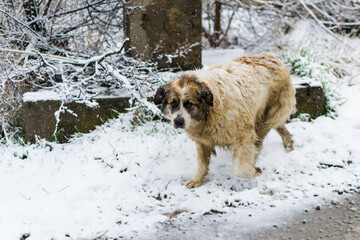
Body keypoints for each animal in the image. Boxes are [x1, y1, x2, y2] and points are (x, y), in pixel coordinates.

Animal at [154, 53, 296, 188]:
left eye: (189, 104)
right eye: (173, 103)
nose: (178, 122)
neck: (209, 111)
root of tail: (272, 57)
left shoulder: (244, 135)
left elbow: (239, 169)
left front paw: (252, 171)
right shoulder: (203, 140)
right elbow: (202, 164)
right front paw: (197, 180)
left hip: (265, 118)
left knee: (261, 139)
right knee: (279, 126)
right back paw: (288, 144)